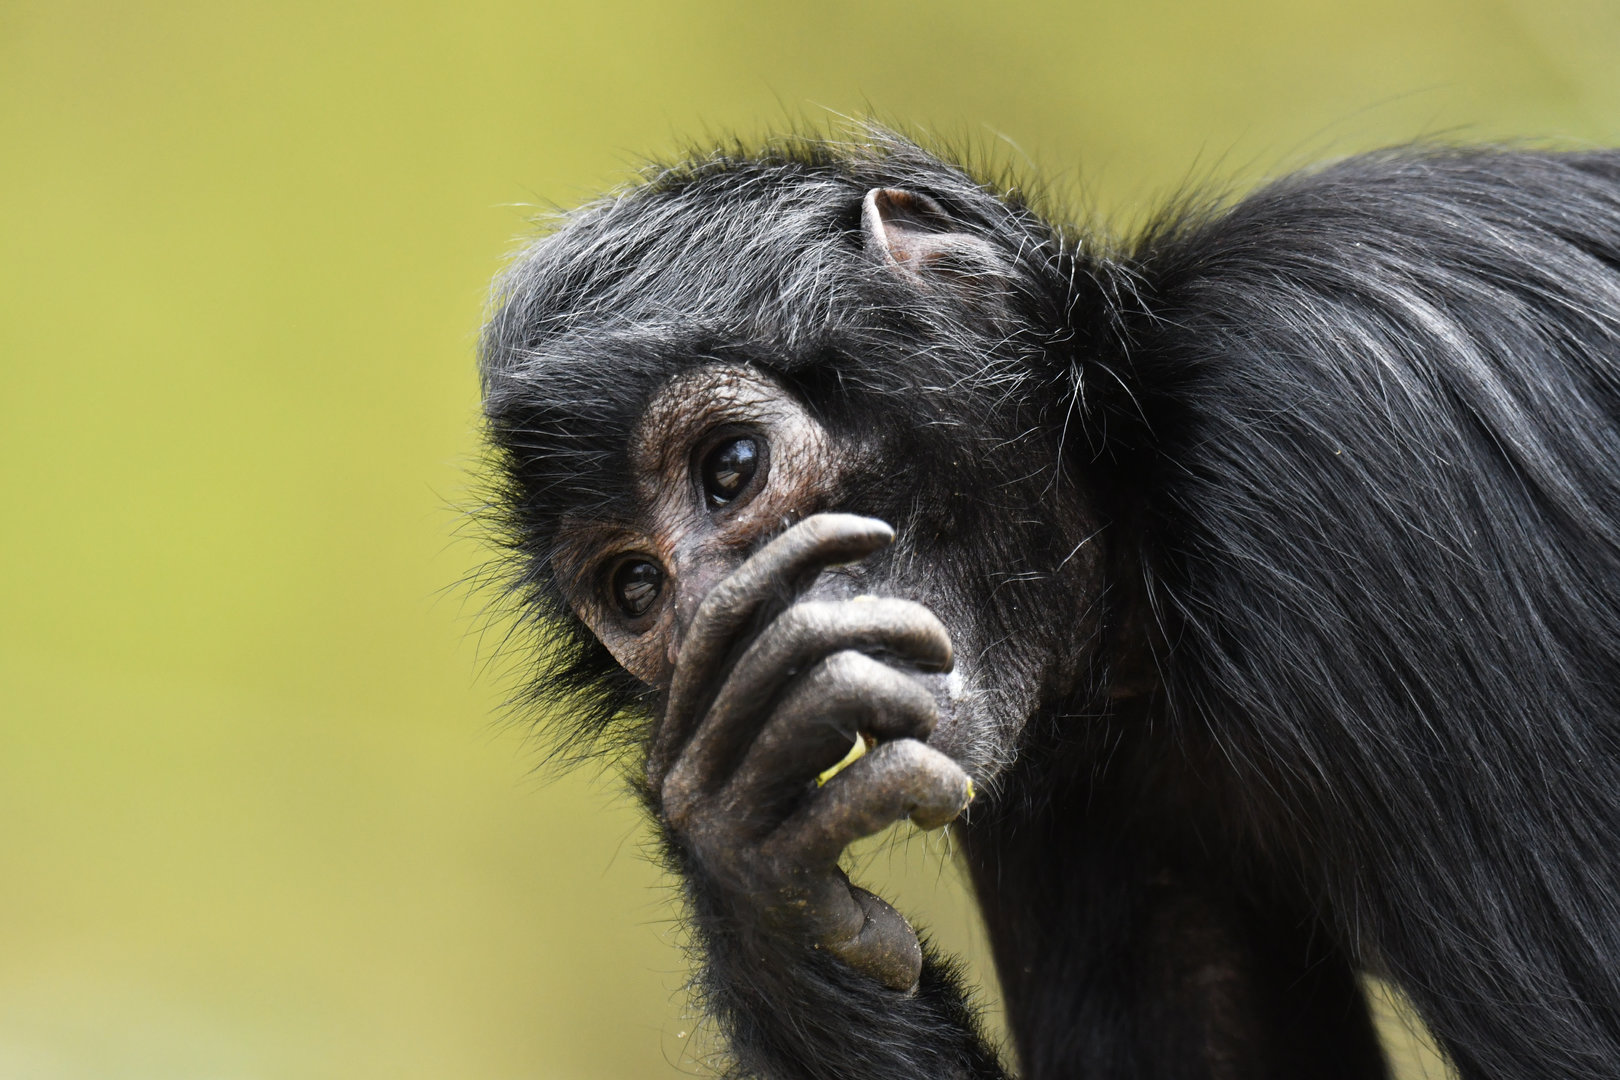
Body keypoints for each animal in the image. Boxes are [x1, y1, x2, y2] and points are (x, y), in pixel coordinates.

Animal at [476, 130, 1620, 1079]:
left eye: (733, 469)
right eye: (637, 588)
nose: (721, 617)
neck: (1142, 503)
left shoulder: (1352, 431)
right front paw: (751, 873)